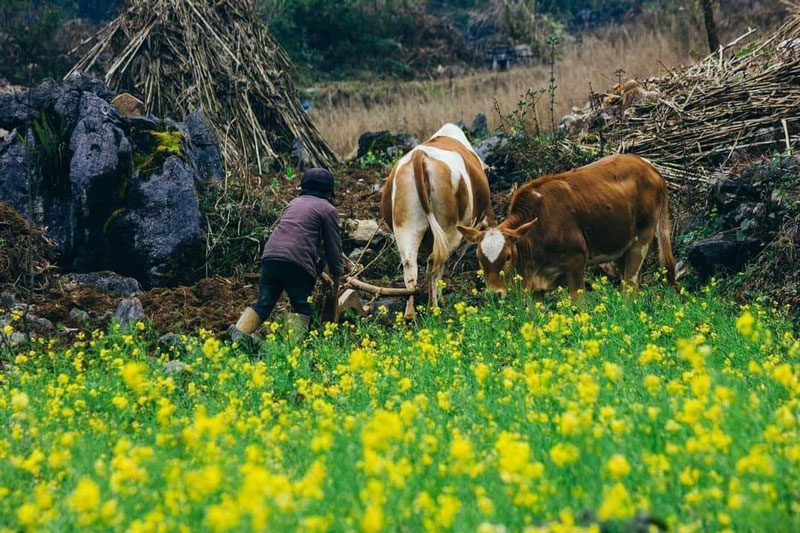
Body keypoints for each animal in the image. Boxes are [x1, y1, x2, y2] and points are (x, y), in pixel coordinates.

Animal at [382, 123, 494, 316]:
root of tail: (419, 155)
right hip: (449, 228)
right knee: (436, 263)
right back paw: (433, 306)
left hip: (406, 227)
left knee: (410, 267)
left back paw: (410, 314)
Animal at [460, 155, 680, 300]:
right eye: (479, 258)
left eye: (506, 257)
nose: (495, 294)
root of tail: (648, 165)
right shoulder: (534, 285)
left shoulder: (576, 262)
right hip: (621, 247)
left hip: (641, 240)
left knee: (630, 285)